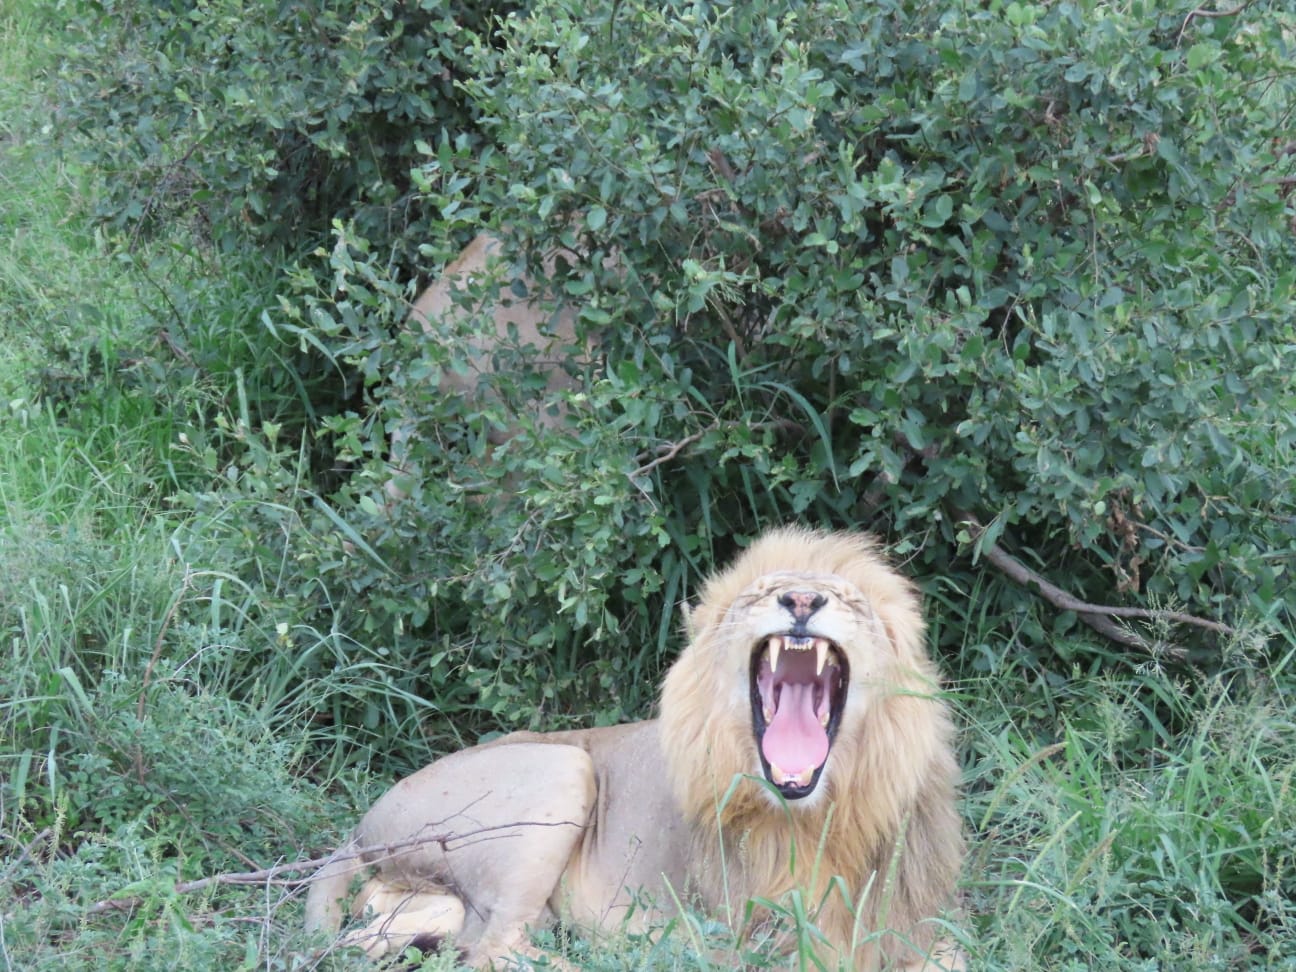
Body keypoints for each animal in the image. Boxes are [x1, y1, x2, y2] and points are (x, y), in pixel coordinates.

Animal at [304, 527, 965, 969]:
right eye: (764, 592)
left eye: (849, 601)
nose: (802, 602)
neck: (811, 815)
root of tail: (360, 828)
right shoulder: (748, 938)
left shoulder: (914, 921)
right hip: (561, 770)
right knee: (493, 948)